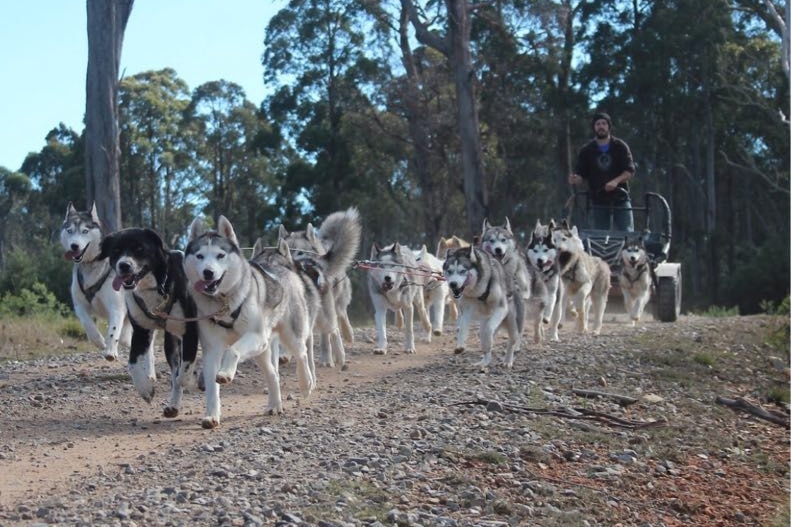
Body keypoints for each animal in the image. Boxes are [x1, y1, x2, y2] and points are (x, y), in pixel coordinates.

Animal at [98, 229, 201, 418]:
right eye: (116, 250)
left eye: (139, 248)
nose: (124, 265)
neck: (155, 287)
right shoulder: (141, 332)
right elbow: (132, 364)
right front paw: (145, 389)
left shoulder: (190, 331)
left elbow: (184, 371)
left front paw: (188, 379)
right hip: (170, 343)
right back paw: (173, 406)